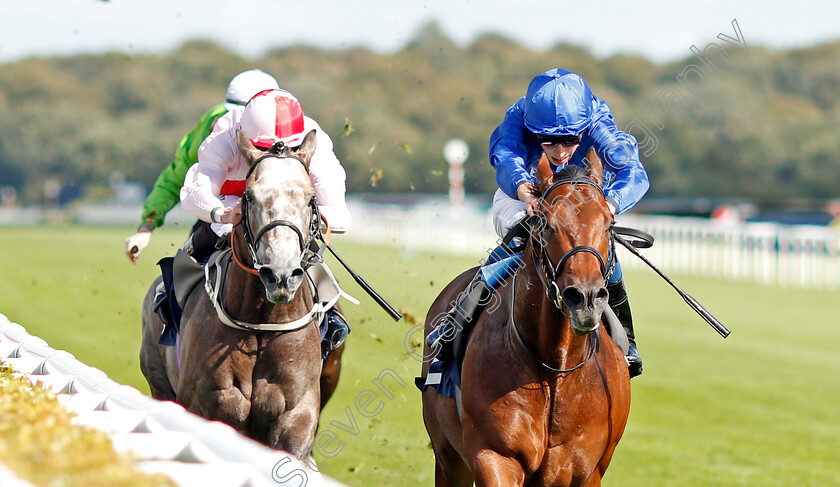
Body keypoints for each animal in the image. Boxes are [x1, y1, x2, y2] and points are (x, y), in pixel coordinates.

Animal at [141, 131, 342, 454]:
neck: (261, 321)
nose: (280, 275)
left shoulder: (296, 415)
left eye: (311, 199)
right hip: (158, 380)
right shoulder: (208, 405)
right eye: (249, 197)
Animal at [420, 151, 632, 486]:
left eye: (609, 223)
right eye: (545, 224)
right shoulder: (494, 456)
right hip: (448, 455)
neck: (555, 371)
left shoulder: (587, 472)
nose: (585, 298)